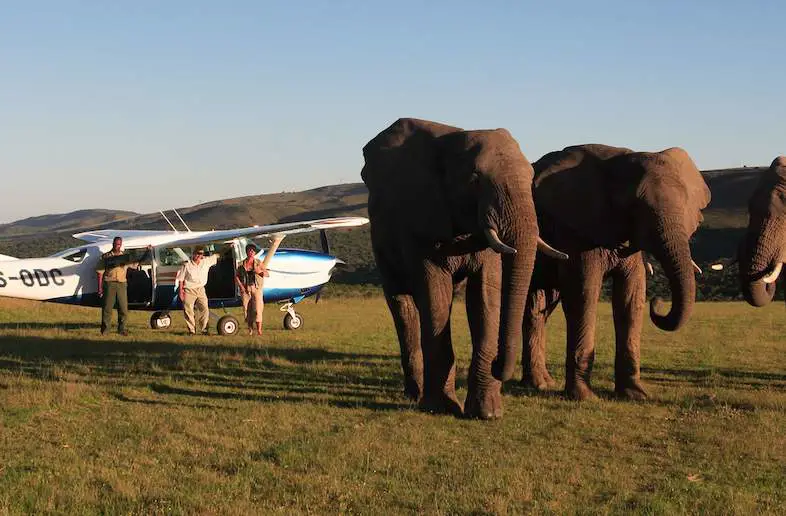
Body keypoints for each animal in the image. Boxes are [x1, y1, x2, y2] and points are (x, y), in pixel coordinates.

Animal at [362, 117, 564, 420]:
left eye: (531, 179)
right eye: (475, 179)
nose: (498, 365)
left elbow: (486, 295)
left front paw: (488, 413)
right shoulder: (420, 219)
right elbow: (436, 294)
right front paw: (440, 408)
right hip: (381, 244)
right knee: (403, 306)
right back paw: (414, 395)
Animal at [520, 143, 712, 402]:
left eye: (685, 206)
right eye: (634, 207)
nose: (658, 301)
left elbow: (631, 298)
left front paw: (636, 394)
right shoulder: (577, 229)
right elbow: (583, 295)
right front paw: (584, 397)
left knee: (537, 308)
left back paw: (540, 384)